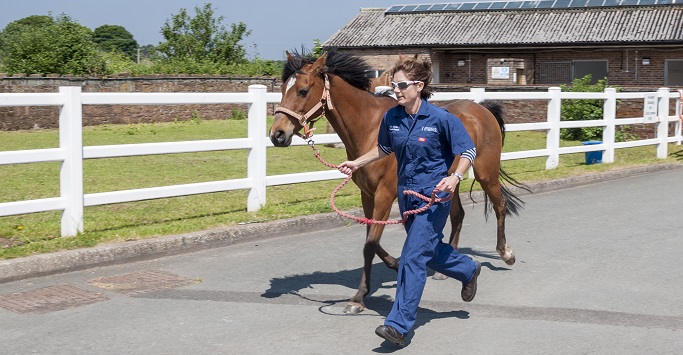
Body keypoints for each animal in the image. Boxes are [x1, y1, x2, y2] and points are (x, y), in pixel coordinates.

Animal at [270, 50, 528, 314]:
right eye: (282, 88)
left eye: (302, 91)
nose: (277, 135)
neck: (370, 128)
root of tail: (481, 109)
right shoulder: (367, 195)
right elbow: (370, 239)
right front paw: (394, 264)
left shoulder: (384, 195)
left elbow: (370, 243)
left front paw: (358, 298)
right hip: (448, 185)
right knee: (458, 216)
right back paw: (446, 269)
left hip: (486, 173)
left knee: (500, 206)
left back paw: (506, 254)